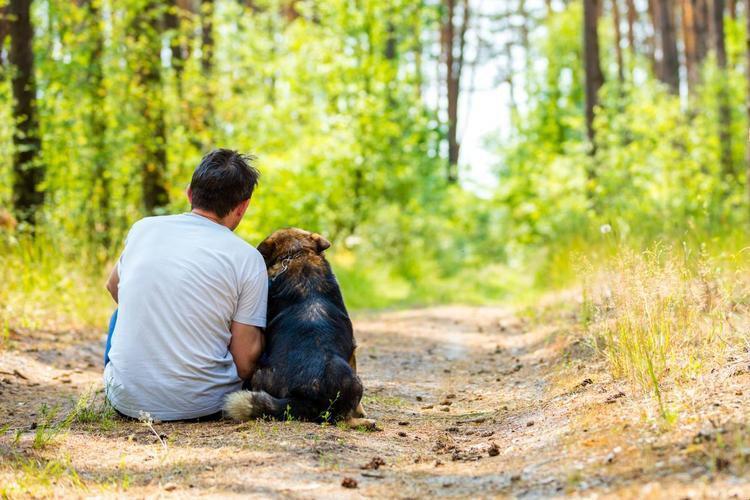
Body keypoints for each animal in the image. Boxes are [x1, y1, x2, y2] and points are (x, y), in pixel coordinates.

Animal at [225, 227, 374, 426]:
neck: (297, 255)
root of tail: (303, 397)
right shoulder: (353, 351)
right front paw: (362, 412)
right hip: (352, 379)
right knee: (341, 419)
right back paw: (365, 423)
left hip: (258, 374)